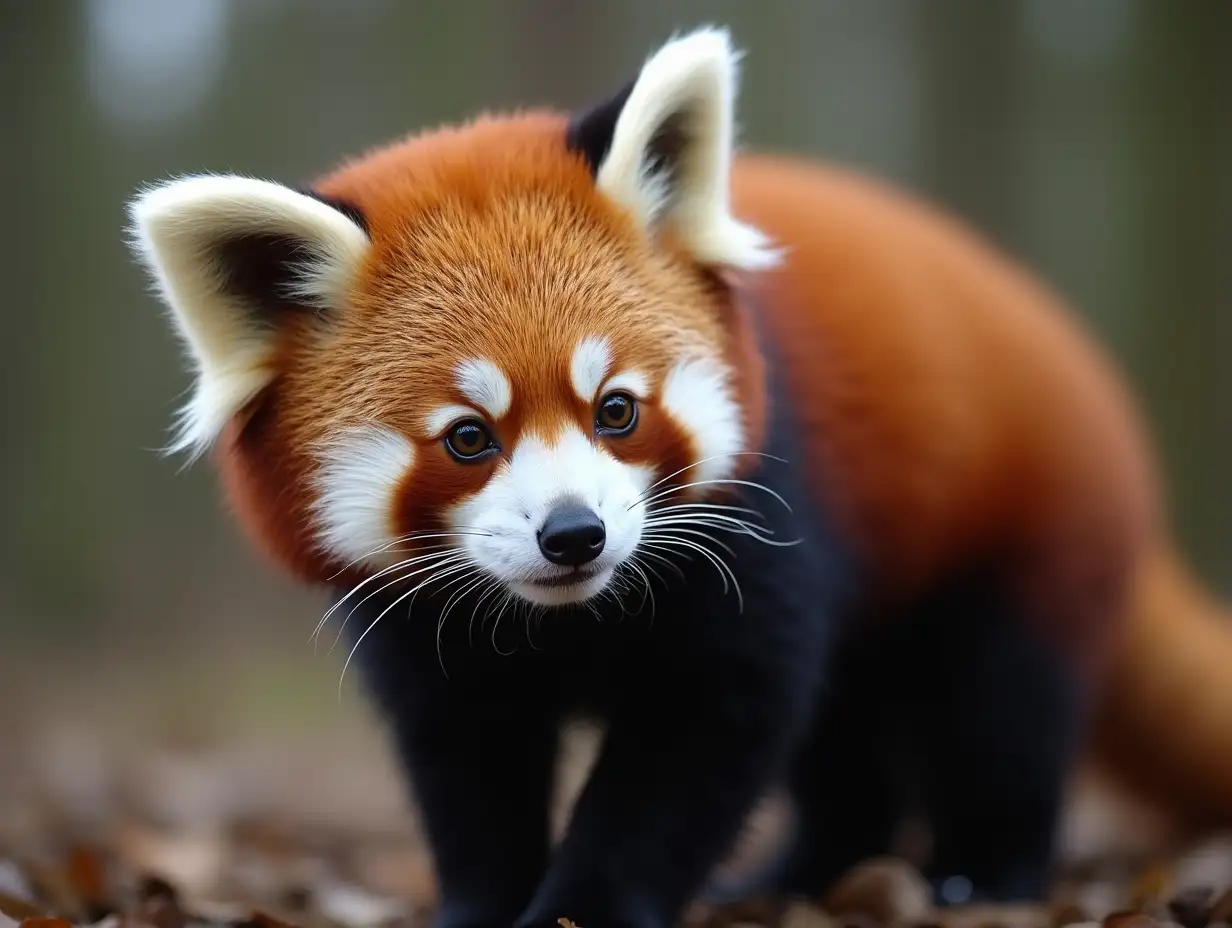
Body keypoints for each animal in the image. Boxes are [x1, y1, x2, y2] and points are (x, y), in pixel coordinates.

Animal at [122, 25, 1232, 926]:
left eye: (615, 410)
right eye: (469, 437)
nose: (573, 533)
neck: (568, 618)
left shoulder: (768, 521)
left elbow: (703, 733)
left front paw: (585, 909)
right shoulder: (418, 628)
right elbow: (467, 758)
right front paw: (482, 903)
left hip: (1025, 528)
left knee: (1001, 709)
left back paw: (979, 874)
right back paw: (804, 873)